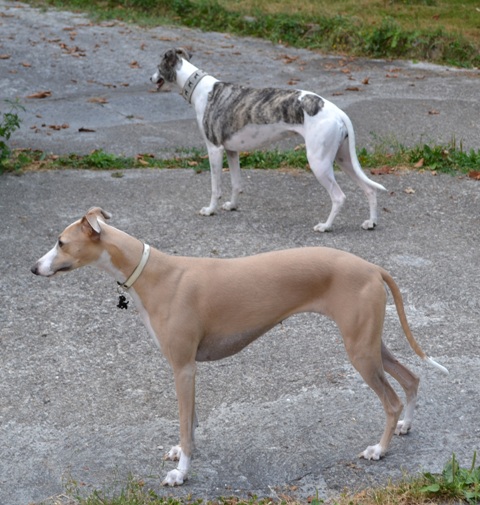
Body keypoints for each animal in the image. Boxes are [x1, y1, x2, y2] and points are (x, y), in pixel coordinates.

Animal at [32, 208, 446, 484]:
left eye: (61, 242)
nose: (34, 268)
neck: (152, 273)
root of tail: (373, 267)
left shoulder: (183, 367)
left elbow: (184, 421)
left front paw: (181, 473)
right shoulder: (187, 369)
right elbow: (192, 420)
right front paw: (184, 453)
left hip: (360, 351)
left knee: (391, 400)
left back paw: (380, 449)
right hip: (370, 344)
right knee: (411, 379)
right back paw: (407, 425)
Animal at [152, 47, 388, 230]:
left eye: (157, 66)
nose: (150, 78)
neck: (201, 88)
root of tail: (338, 111)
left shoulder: (214, 149)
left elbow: (215, 187)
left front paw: (210, 210)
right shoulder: (232, 150)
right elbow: (236, 183)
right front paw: (232, 206)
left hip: (319, 162)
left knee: (339, 197)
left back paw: (325, 226)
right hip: (343, 159)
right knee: (370, 190)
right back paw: (371, 222)